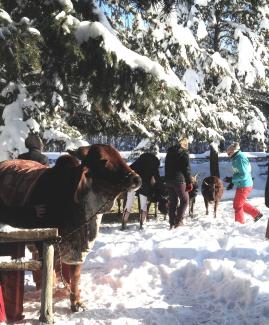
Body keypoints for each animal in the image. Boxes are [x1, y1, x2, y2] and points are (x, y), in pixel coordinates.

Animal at [0, 145, 141, 312]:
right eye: (103, 160)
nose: (136, 179)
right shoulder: (46, 245)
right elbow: (50, 276)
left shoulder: (78, 252)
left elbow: (75, 276)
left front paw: (76, 302)